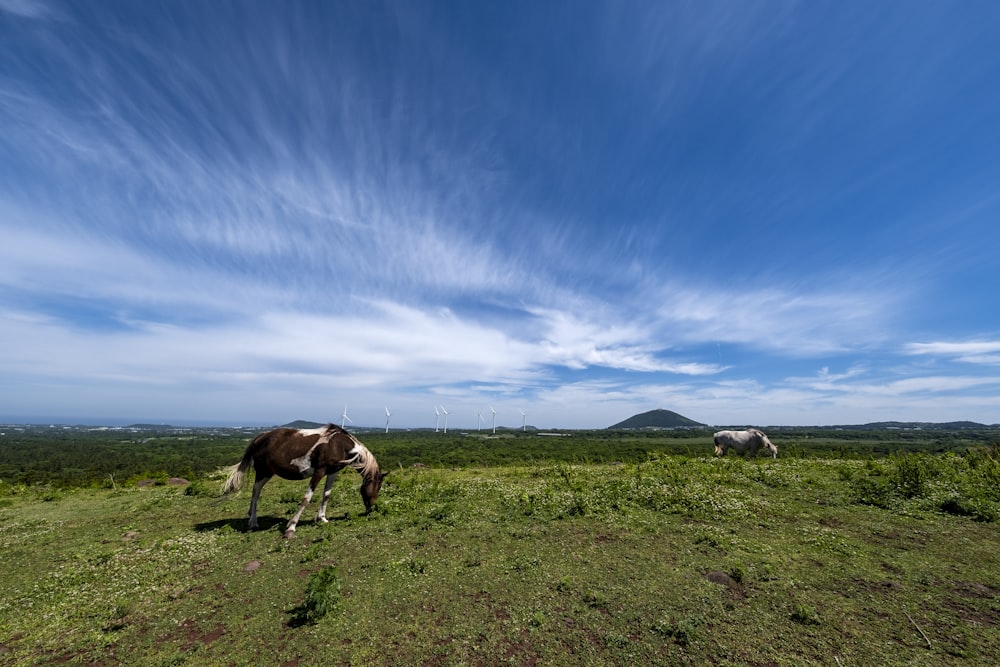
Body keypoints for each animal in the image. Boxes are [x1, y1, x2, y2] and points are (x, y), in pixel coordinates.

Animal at [223, 426, 386, 540]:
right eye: (377, 487)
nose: (371, 509)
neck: (339, 445)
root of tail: (260, 437)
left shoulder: (333, 472)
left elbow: (326, 495)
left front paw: (322, 518)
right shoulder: (319, 471)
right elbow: (306, 499)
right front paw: (291, 527)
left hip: (267, 473)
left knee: (255, 493)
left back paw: (250, 515)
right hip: (262, 472)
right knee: (256, 493)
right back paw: (253, 522)